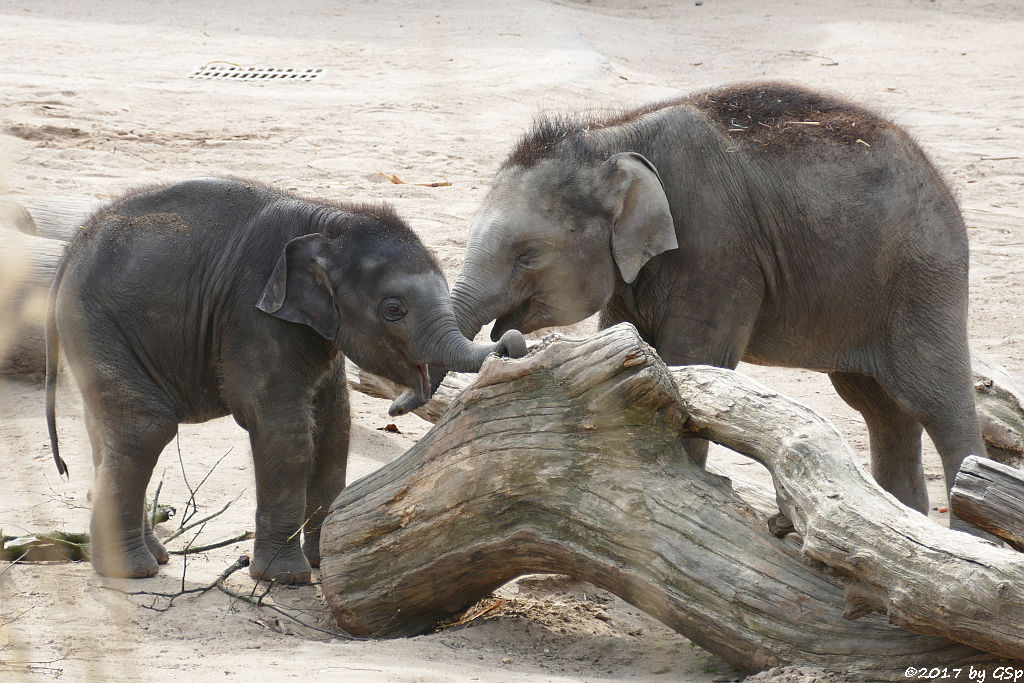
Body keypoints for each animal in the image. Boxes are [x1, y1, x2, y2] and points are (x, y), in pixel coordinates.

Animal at [46, 179, 528, 585]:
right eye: (394, 309)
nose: (511, 342)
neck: (329, 220)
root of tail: (71, 250)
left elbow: (334, 427)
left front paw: (323, 561)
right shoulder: (253, 315)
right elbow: (286, 429)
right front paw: (285, 579)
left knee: (111, 431)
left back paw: (154, 556)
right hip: (95, 324)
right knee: (146, 427)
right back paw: (134, 571)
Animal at [446, 81, 983, 528]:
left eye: (527, 255)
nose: (509, 342)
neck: (610, 137)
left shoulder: (717, 251)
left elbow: (691, 363)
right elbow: (629, 348)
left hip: (924, 280)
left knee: (937, 403)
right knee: (881, 409)